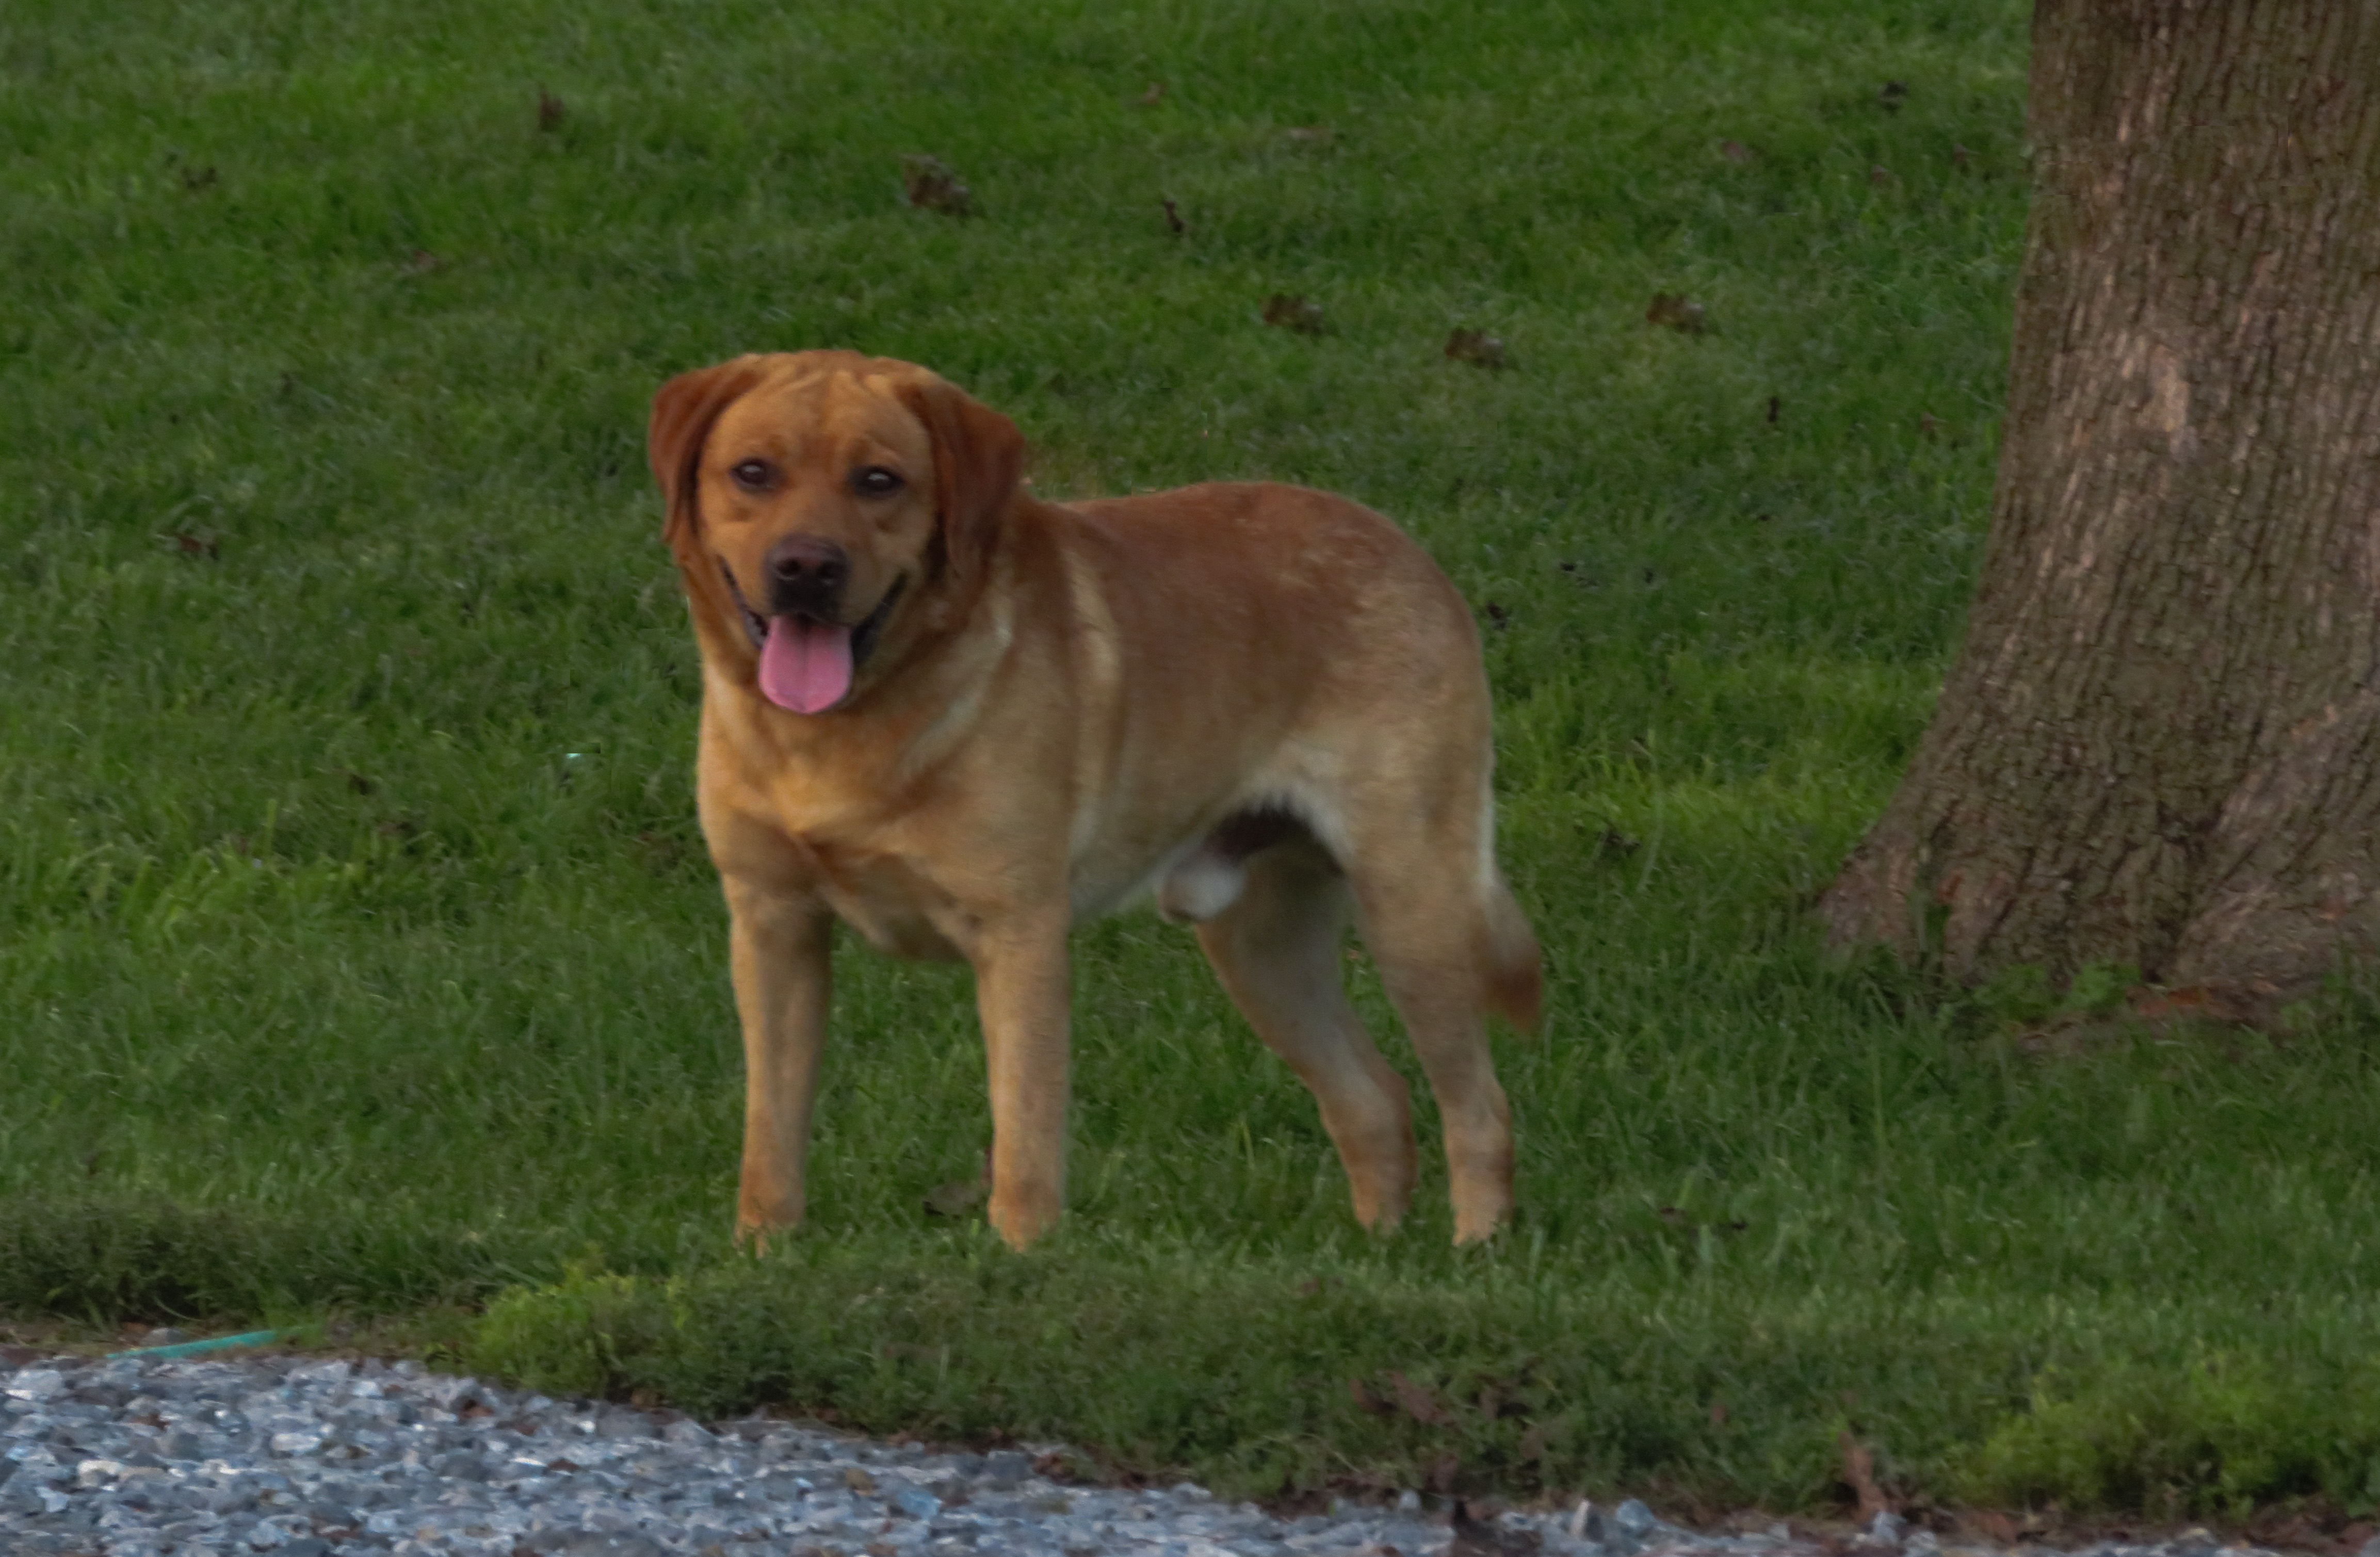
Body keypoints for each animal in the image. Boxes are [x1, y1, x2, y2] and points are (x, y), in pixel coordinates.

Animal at [652, 354, 1542, 1257]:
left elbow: (1024, 1129)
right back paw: (1377, 1250)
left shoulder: (1019, 935)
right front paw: (764, 1250)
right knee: (1373, 1097)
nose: (805, 567)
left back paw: (1474, 1252)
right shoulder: (773, 925)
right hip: (1261, 945)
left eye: (879, 480)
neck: (842, 732)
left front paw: (1022, 1260)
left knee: (1479, 1107)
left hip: (1413, 910)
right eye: (753, 472)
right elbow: (771, 1126)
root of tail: (1404, 544)